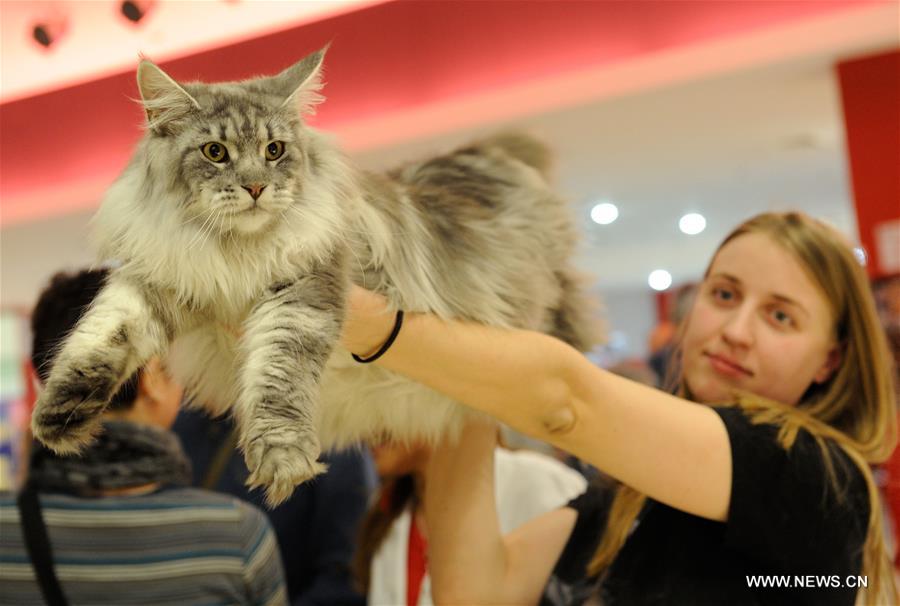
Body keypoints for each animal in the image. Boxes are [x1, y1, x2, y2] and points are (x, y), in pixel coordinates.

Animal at [31, 47, 600, 506]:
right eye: (215, 152)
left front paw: (281, 459)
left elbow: (279, 377)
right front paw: (59, 416)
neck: (232, 252)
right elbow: (100, 336)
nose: (256, 187)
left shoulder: (303, 291)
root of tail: (479, 155)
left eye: (274, 150)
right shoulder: (161, 281)